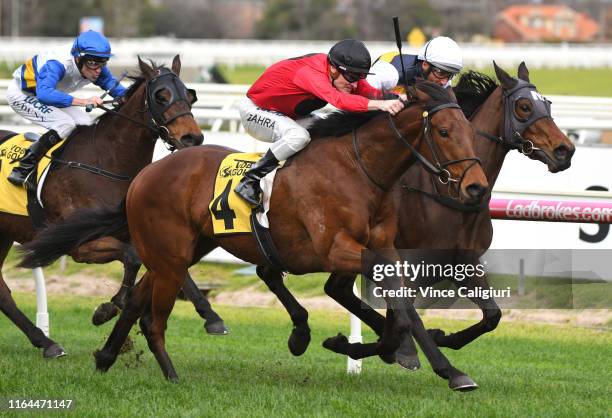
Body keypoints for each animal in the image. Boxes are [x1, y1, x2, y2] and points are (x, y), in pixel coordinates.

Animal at [0, 54, 208, 356]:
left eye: (190, 95)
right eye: (161, 95)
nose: (192, 138)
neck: (106, 162)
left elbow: (172, 268)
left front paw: (210, 316)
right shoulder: (78, 245)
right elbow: (131, 257)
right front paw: (107, 309)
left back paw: (47, 343)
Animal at [21, 81, 490, 388]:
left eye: (471, 131)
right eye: (443, 132)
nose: (476, 188)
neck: (360, 168)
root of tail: (142, 176)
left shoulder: (384, 247)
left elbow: (400, 303)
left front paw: (384, 349)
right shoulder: (335, 249)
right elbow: (399, 305)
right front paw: (432, 363)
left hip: (181, 251)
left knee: (138, 300)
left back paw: (105, 356)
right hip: (170, 255)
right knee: (153, 315)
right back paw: (169, 374)